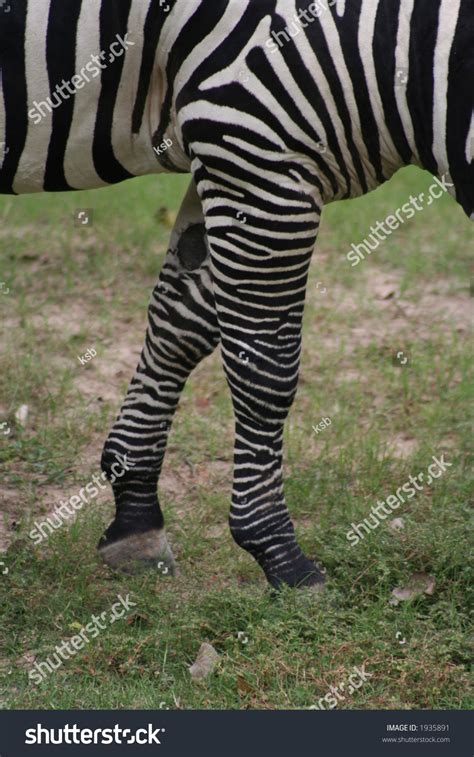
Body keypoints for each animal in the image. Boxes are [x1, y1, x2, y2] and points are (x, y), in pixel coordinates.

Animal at [0, 0, 472, 592]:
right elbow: (265, 369)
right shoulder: (255, 153)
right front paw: (278, 552)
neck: (396, 42)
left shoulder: (227, 158)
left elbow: (179, 326)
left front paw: (135, 517)